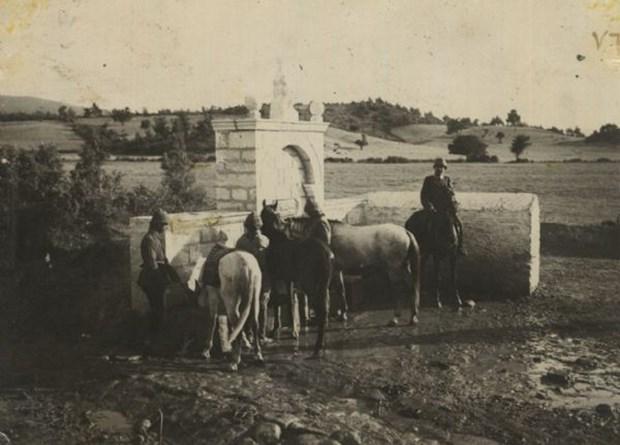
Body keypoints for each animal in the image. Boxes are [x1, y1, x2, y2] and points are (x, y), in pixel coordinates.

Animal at [260, 201, 334, 358]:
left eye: (262, 214)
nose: (261, 229)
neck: (278, 239)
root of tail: (326, 253)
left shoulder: (277, 278)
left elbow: (280, 302)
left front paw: (280, 329)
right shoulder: (290, 279)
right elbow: (290, 302)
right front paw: (292, 329)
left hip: (311, 286)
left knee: (321, 310)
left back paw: (317, 348)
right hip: (323, 286)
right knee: (325, 308)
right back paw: (322, 344)